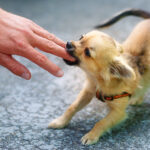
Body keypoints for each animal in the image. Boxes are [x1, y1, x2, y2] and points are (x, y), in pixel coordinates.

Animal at [48, 8, 150, 145]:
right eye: (81, 37)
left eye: (87, 53)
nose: (68, 43)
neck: (98, 80)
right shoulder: (87, 92)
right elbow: (72, 107)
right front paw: (60, 122)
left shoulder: (118, 113)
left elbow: (101, 123)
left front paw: (91, 135)